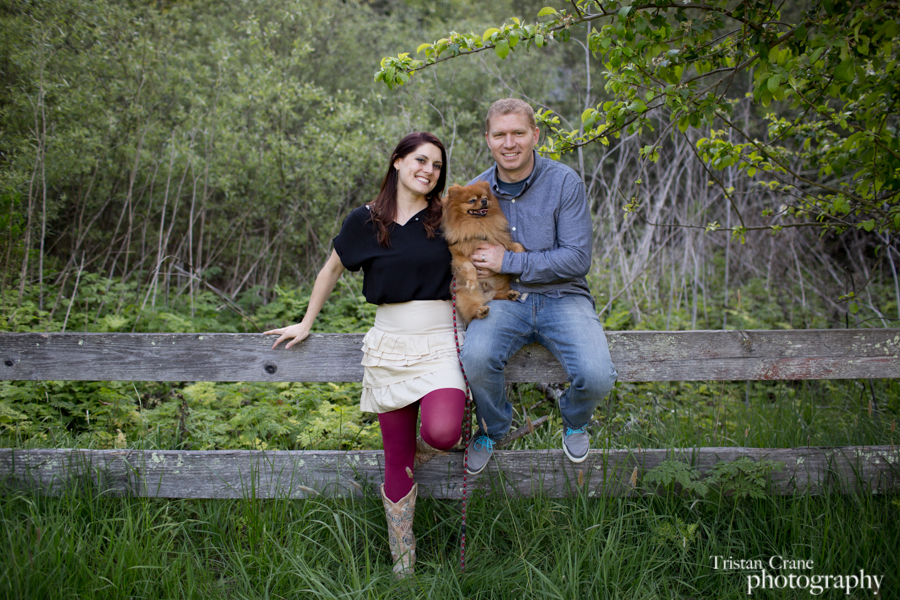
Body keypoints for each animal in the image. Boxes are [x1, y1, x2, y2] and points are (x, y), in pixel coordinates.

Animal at [440, 180, 524, 324]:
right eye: (472, 200)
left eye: (485, 197)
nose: (484, 201)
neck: (479, 224)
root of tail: (486, 294)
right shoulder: (458, 254)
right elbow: (469, 266)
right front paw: (472, 282)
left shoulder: (502, 242)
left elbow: (518, 246)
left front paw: (521, 258)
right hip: (464, 297)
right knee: (473, 310)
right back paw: (481, 311)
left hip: (500, 286)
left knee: (496, 295)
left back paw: (510, 294)